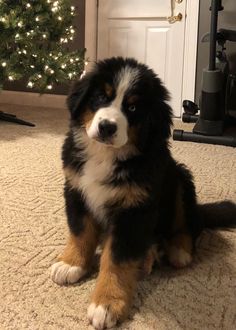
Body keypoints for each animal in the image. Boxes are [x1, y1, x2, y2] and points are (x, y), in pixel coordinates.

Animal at [50, 57, 235, 330]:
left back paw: (177, 250)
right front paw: (71, 264)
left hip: (179, 180)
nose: (106, 127)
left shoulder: (134, 211)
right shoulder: (76, 189)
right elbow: (80, 232)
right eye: (101, 97)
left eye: (133, 107)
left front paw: (107, 304)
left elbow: (117, 260)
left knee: (188, 225)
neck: (105, 156)